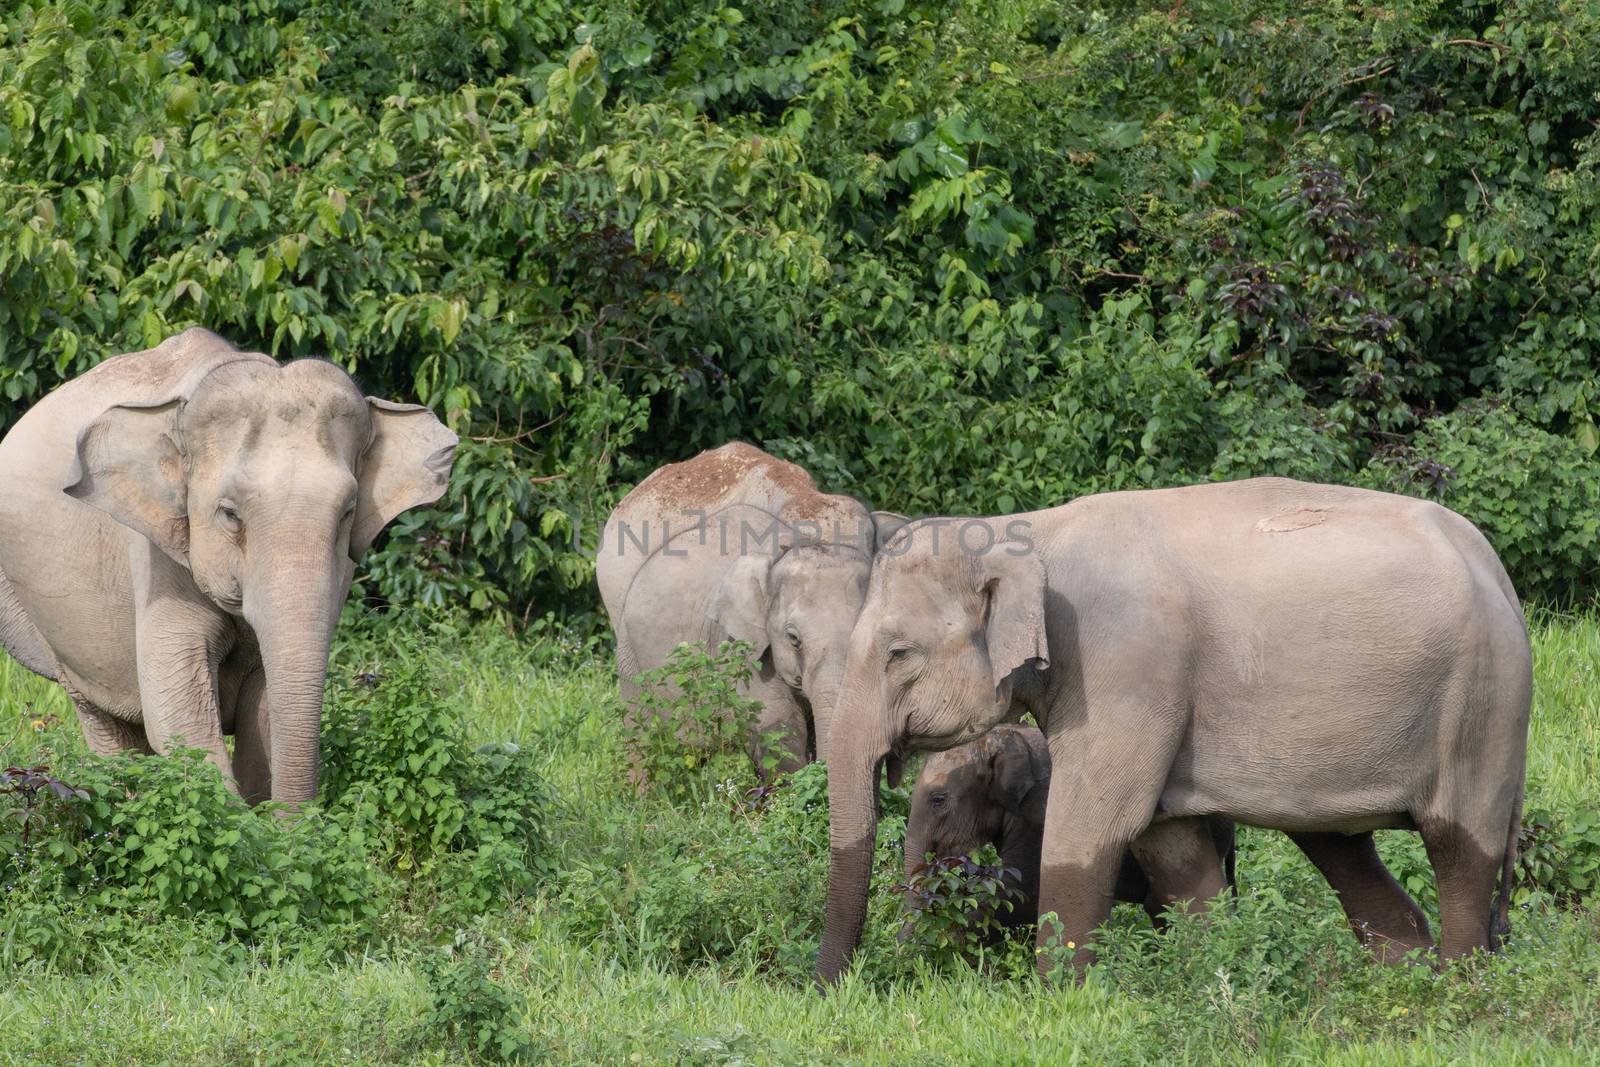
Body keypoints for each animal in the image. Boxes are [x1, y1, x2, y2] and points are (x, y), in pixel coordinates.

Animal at [0, 329, 457, 806]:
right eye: (230, 514)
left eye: (348, 512)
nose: (299, 819)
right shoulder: (156, 557)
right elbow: (179, 714)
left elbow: (265, 715)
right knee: (105, 724)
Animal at [819, 483, 1529, 985]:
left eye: (898, 654)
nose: (828, 990)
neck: (1025, 530)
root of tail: (1497, 569)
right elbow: (1176, 856)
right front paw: (1214, 982)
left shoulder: (1125, 668)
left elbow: (1089, 831)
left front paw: (1060, 1001)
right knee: (1344, 852)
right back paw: (1406, 986)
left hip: (1482, 708)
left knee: (1461, 853)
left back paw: (1461, 994)